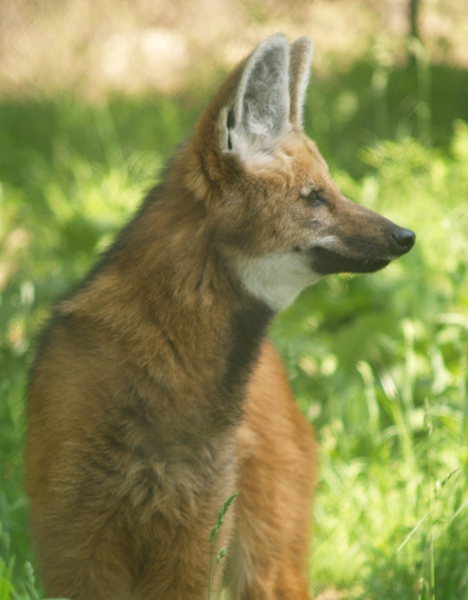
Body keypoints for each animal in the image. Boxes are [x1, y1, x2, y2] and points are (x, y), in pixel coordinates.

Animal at [25, 34, 414, 600]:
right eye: (314, 198)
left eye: (332, 190)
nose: (405, 236)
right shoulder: (77, 544)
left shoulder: (192, 538)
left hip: (264, 560)